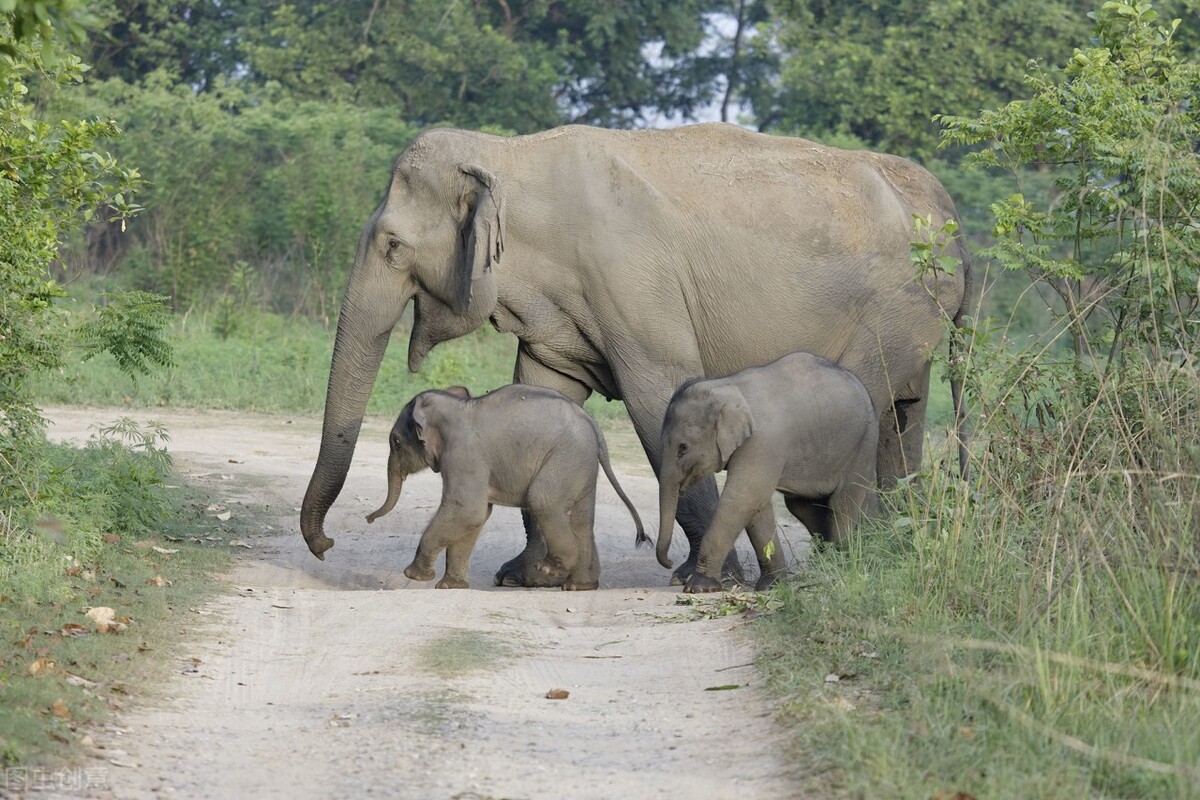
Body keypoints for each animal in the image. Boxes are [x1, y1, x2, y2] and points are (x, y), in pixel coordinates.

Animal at [364, 384, 647, 590]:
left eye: (396, 442)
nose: (368, 519)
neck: (457, 406)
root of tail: (593, 426)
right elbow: (476, 516)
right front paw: (450, 586)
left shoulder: (464, 454)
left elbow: (468, 509)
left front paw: (415, 576)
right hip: (581, 466)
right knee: (581, 520)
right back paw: (579, 586)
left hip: (565, 458)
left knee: (542, 500)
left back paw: (550, 569)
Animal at [656, 352, 879, 594]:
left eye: (683, 448)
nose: (669, 563)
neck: (725, 386)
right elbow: (757, 507)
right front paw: (771, 585)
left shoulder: (762, 441)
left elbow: (743, 498)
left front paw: (699, 587)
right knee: (804, 507)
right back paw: (824, 566)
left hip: (863, 444)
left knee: (842, 504)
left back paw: (836, 568)